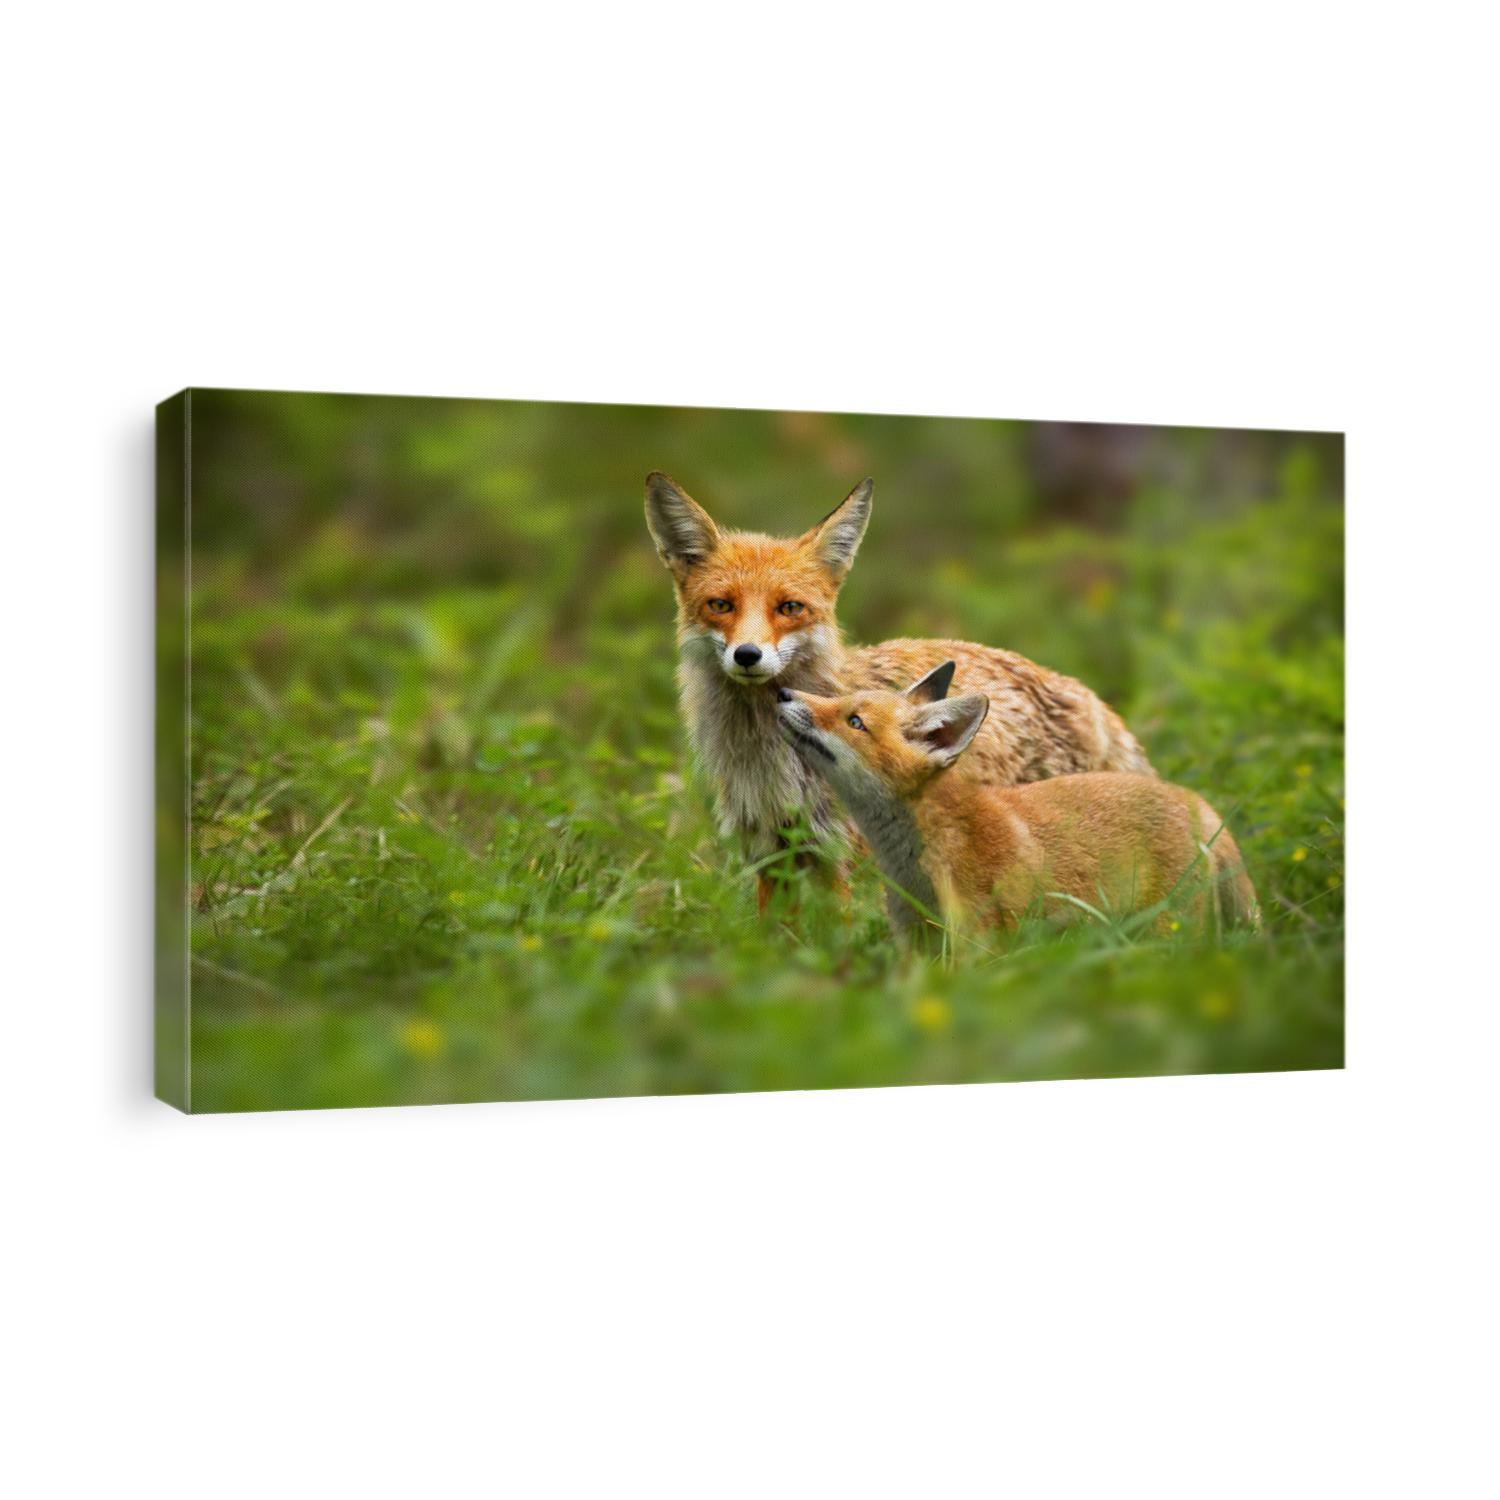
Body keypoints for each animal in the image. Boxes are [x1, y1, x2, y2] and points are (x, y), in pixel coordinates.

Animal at [644, 471, 1155, 907]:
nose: (748, 655)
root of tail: (1090, 699)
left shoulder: (846, 858)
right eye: (720, 605)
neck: (772, 763)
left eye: (789, 607)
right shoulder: (771, 852)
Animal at [776, 663, 1260, 938]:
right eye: (841, 700)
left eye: (855, 721)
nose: (783, 693)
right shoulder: (917, 940)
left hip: (1168, 929)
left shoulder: (980, 940)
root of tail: (1197, 801)